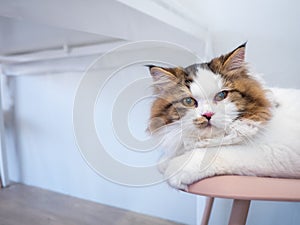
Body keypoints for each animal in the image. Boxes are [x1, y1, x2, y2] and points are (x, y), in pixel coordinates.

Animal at [148, 42, 300, 190]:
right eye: (189, 101)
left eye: (221, 95)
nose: (207, 114)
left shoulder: (278, 151)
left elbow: (215, 152)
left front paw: (176, 168)